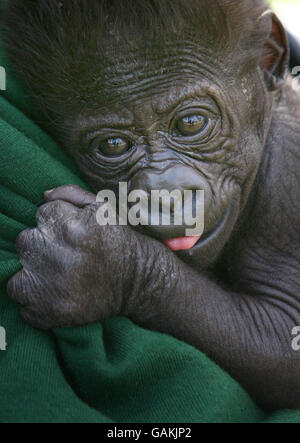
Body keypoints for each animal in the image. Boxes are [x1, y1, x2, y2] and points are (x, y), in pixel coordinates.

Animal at [1, 0, 298, 412]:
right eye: (112, 145)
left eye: (191, 122)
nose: (165, 196)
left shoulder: (288, 173)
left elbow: (285, 339)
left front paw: (101, 263)